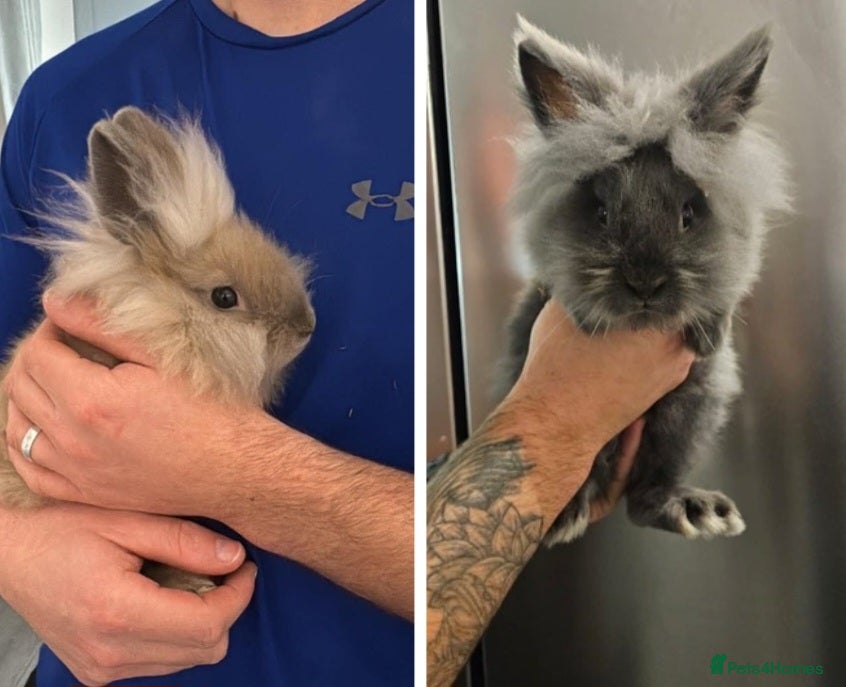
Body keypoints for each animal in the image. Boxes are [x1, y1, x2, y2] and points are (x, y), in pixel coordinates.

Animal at [498, 19, 790, 546]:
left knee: (647, 495)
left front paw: (710, 331)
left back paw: (694, 509)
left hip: (691, 412)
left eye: (689, 213)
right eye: (601, 212)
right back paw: (563, 515)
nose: (645, 284)